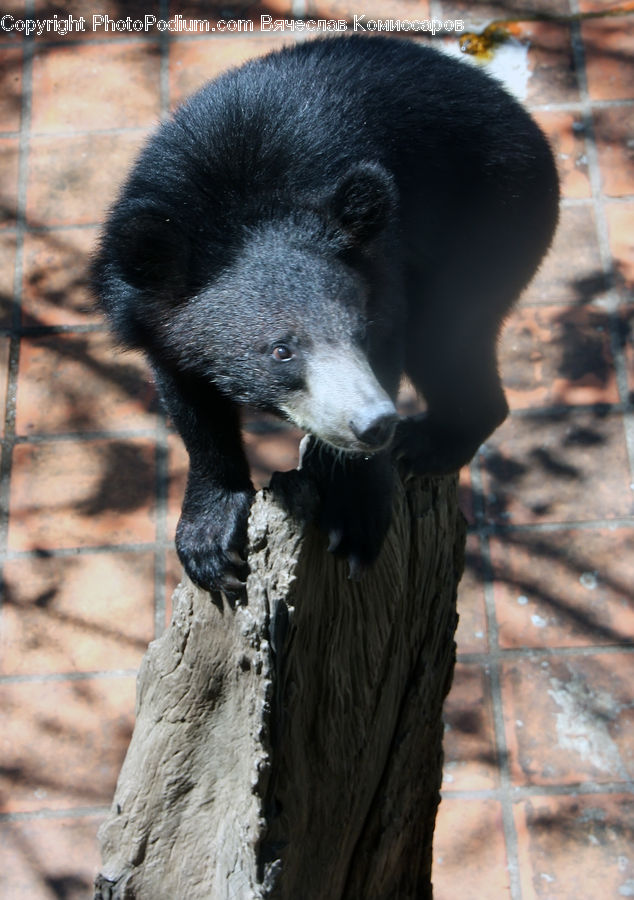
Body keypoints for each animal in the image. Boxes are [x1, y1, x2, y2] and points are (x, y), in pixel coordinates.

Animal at [91, 37, 556, 596]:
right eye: (281, 350)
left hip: (495, 217)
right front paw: (210, 547)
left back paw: (427, 444)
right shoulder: (149, 315)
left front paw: (354, 515)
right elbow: (191, 406)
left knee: (446, 336)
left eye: (360, 334)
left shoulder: (386, 266)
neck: (242, 201)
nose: (375, 424)